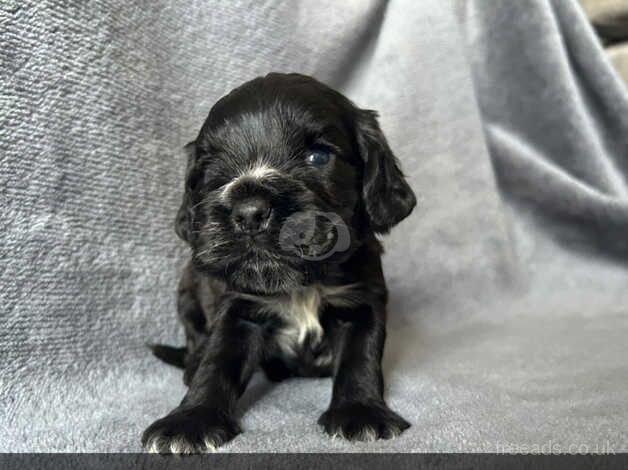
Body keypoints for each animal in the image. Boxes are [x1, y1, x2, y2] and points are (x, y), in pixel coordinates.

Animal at [143, 72, 418, 452]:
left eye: (318, 156)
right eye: (211, 169)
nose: (249, 212)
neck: (301, 283)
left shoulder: (361, 300)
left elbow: (359, 357)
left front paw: (361, 412)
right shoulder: (238, 307)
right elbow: (217, 362)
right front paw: (190, 421)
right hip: (188, 288)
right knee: (196, 340)